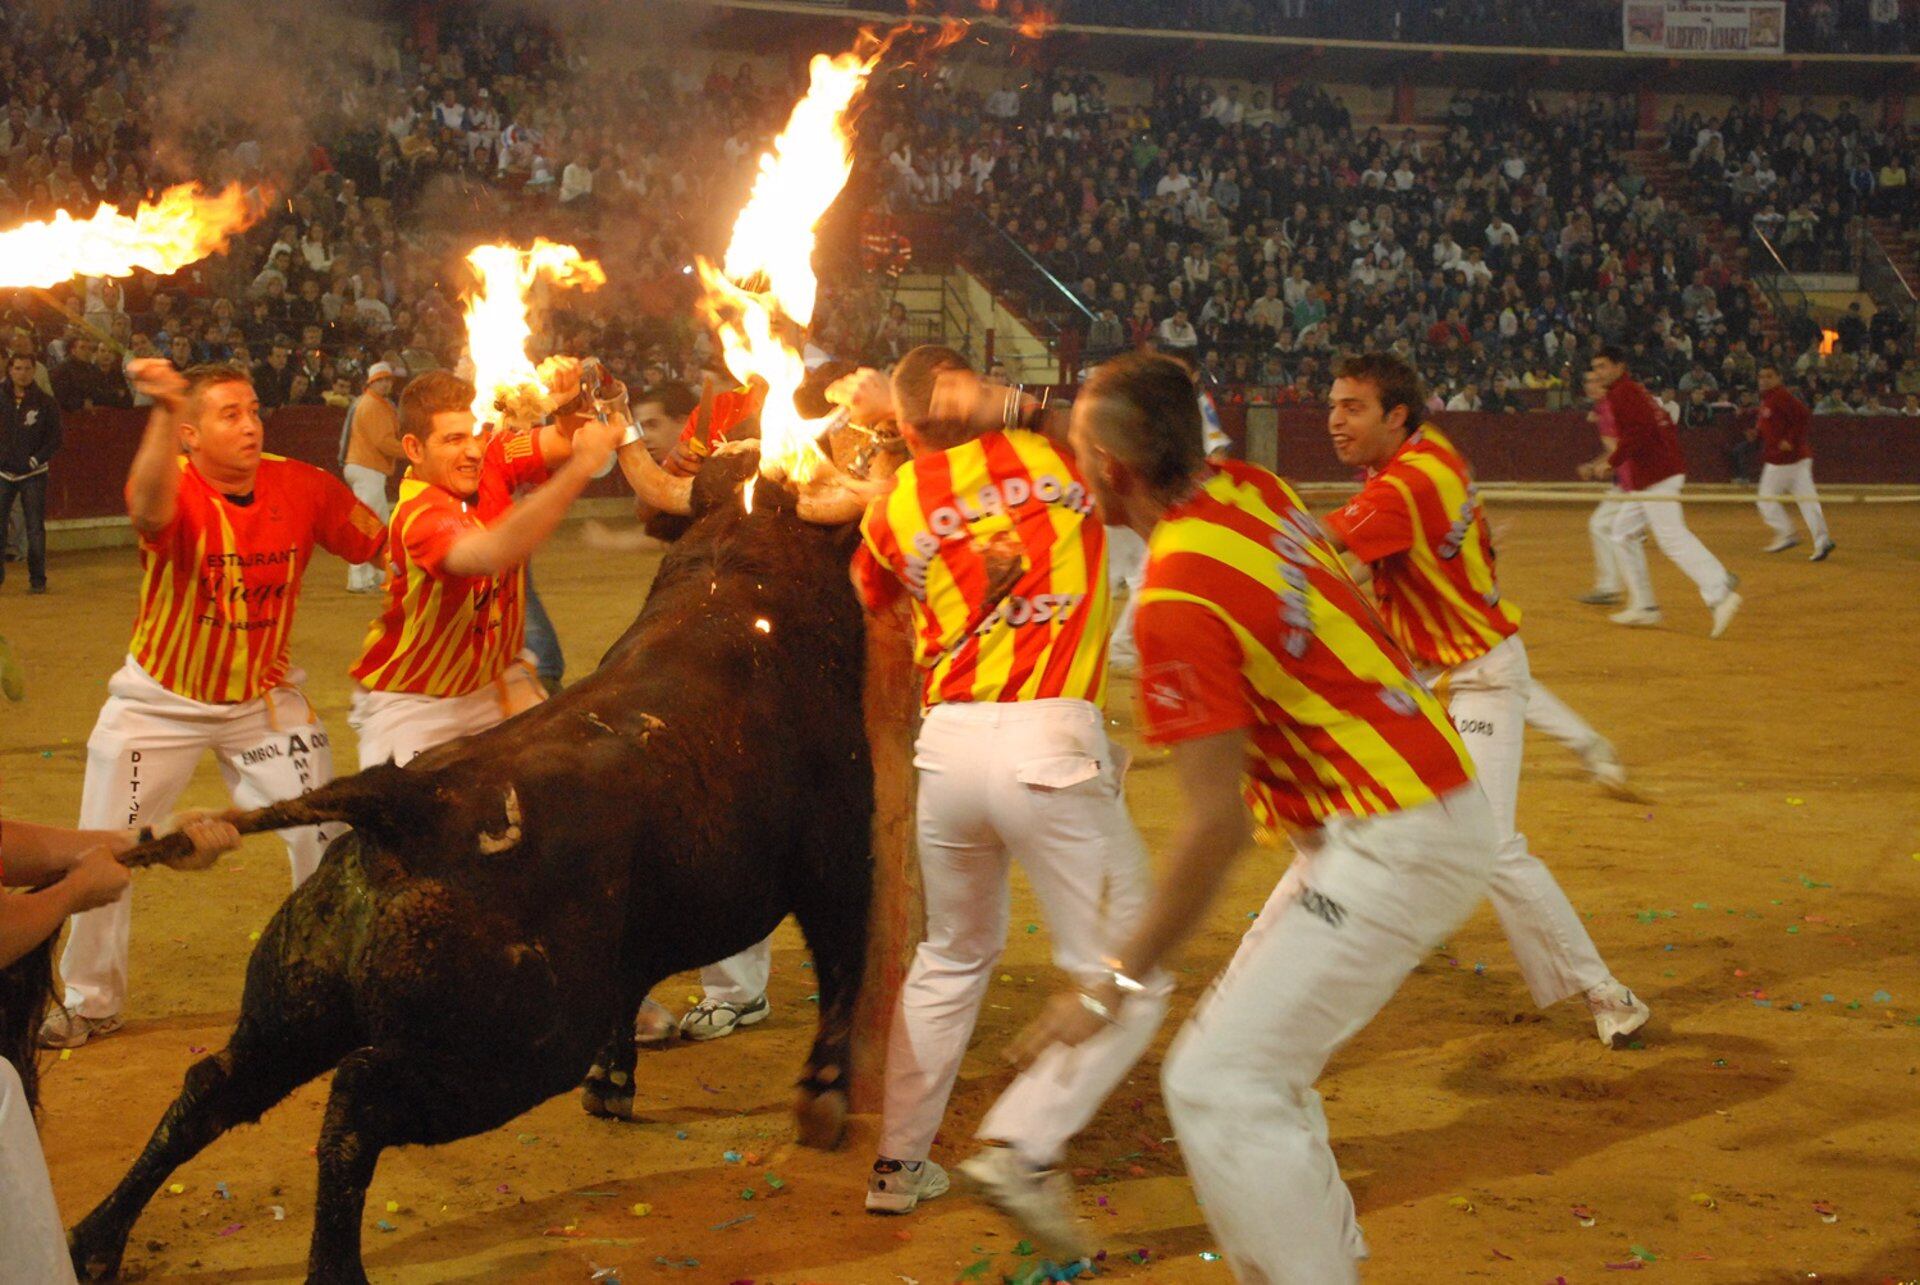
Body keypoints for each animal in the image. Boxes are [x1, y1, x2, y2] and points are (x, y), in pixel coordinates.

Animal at [67, 445, 879, 1275]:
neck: (738, 575)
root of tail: (399, 804)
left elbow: (634, 991)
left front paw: (614, 1083)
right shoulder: (841, 854)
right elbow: (845, 959)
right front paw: (824, 1095)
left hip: (292, 1006)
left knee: (213, 1085)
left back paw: (96, 1240)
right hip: (513, 1049)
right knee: (356, 1099)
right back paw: (333, 1267)